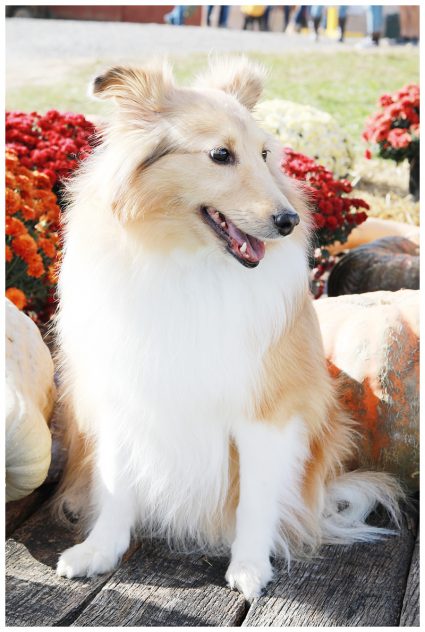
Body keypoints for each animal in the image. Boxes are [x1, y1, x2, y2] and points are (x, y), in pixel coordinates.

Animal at [54, 58, 402, 600]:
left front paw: (250, 566)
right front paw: (98, 551)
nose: (289, 220)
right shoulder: (122, 397)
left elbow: (256, 500)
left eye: (264, 154)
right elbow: (116, 485)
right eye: (221, 155)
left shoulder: (267, 411)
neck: (185, 264)